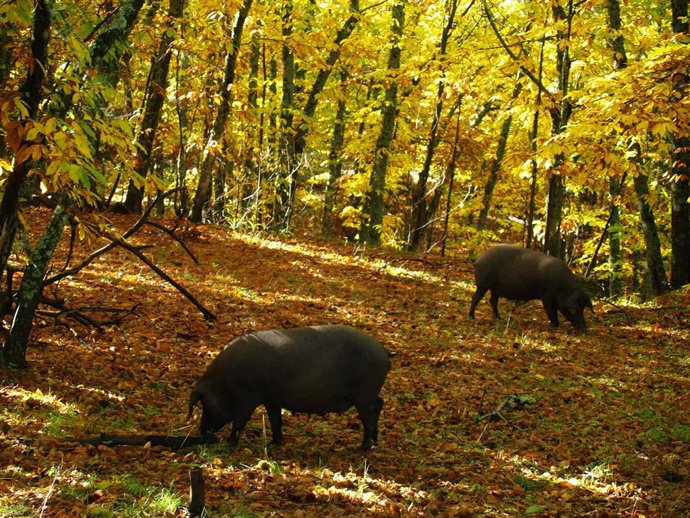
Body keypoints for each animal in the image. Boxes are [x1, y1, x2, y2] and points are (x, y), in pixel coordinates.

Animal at [187, 328, 392, 452]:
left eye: (205, 403)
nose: (202, 431)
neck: (224, 381)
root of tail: (384, 352)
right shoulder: (271, 399)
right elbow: (276, 421)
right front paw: (274, 444)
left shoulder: (249, 395)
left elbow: (240, 420)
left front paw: (230, 444)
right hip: (368, 393)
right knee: (379, 403)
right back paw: (373, 442)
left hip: (364, 392)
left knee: (369, 417)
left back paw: (362, 449)